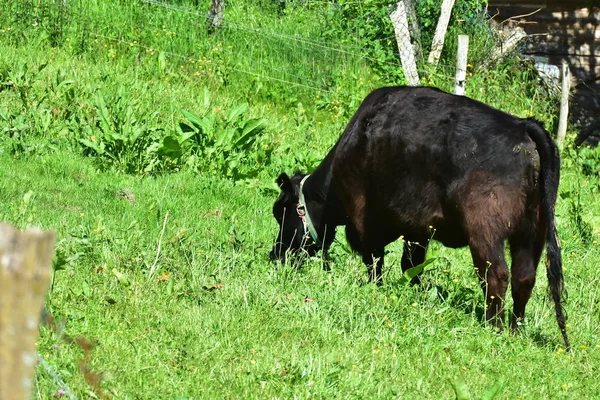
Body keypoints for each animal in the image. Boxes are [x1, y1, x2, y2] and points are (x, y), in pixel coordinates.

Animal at [272, 86, 572, 348]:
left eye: (280, 212)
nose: (275, 254)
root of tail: (524, 125)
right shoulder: (417, 229)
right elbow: (411, 264)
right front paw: (415, 292)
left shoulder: (363, 218)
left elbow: (374, 260)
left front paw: (375, 288)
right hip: (532, 231)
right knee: (524, 278)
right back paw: (514, 329)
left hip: (485, 231)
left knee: (496, 275)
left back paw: (493, 327)